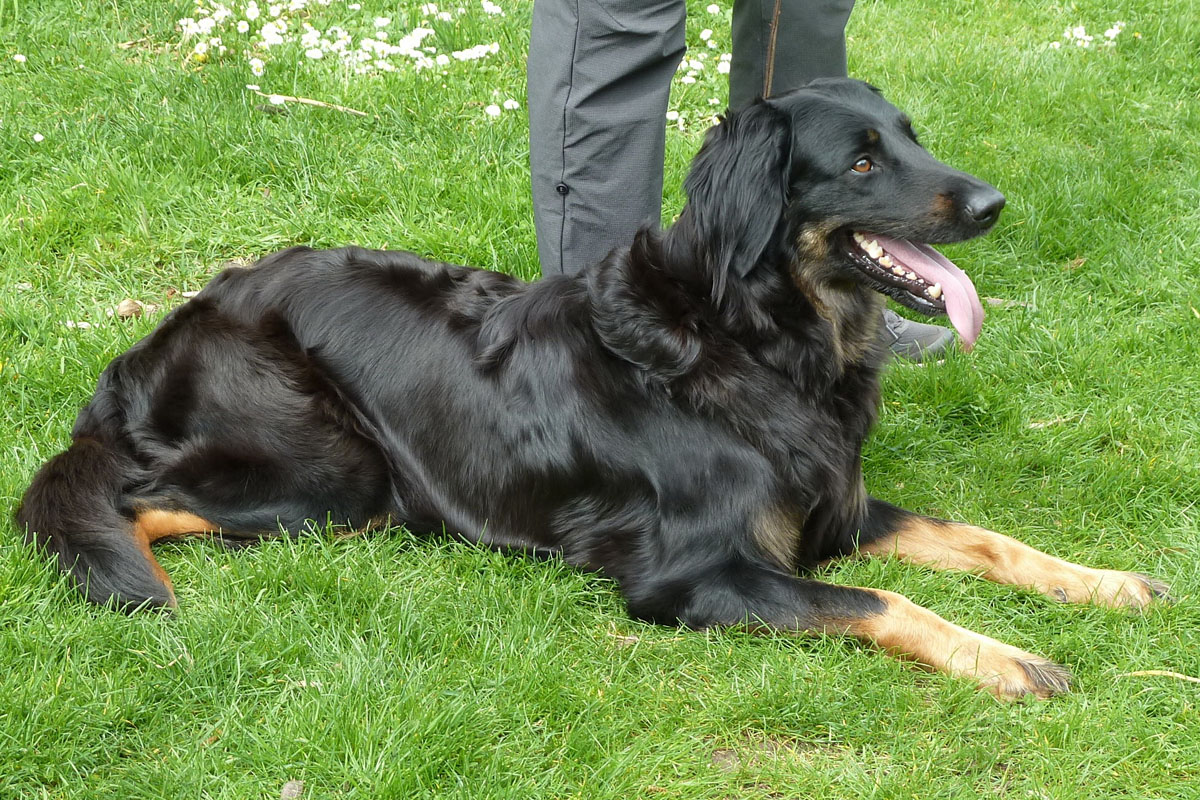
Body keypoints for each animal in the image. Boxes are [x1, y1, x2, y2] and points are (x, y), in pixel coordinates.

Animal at [14, 77, 1166, 695]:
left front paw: (1104, 582)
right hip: (338, 476)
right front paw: (1007, 655)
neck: (752, 339)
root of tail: (152, 344)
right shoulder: (695, 576)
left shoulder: (830, 509)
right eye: (863, 162)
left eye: (915, 137)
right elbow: (887, 598)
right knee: (133, 503)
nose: (993, 203)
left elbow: (980, 538)